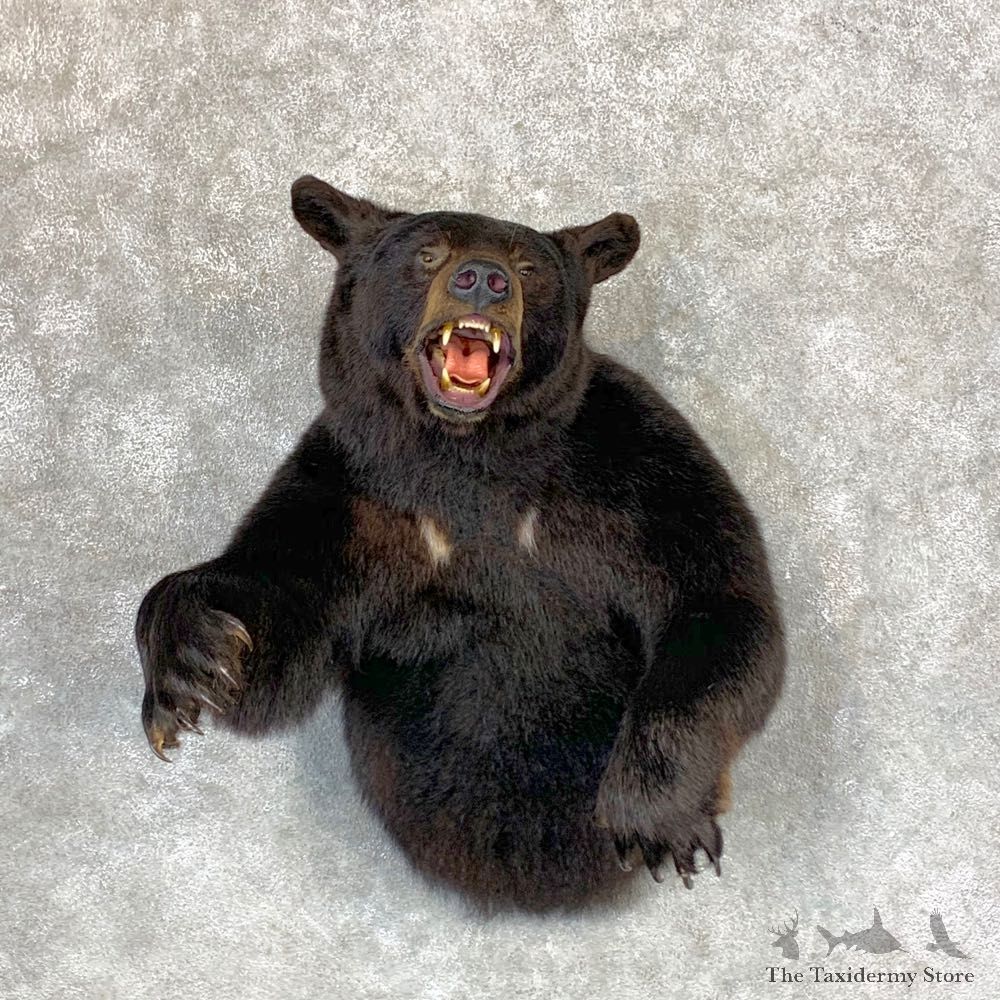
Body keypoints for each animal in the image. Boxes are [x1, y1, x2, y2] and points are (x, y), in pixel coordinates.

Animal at [135, 176, 785, 913]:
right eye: (428, 252)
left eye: (528, 267)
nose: (482, 279)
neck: (464, 455)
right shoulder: (350, 497)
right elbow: (279, 631)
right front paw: (196, 658)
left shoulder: (633, 468)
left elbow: (716, 600)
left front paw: (655, 816)